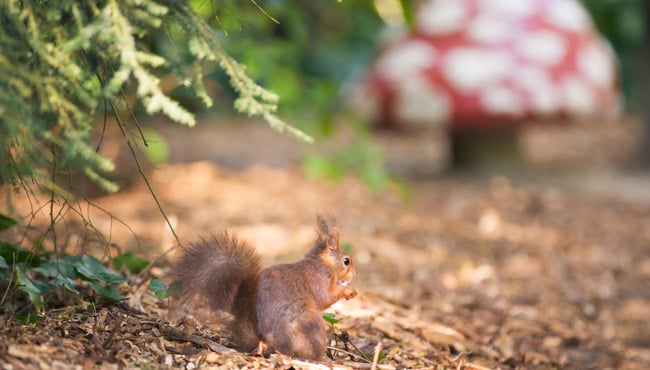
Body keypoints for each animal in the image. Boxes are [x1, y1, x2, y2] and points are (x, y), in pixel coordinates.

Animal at [170, 215, 356, 360]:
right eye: (346, 261)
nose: (354, 274)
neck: (320, 262)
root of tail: (268, 341)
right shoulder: (318, 278)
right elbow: (326, 297)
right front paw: (347, 291)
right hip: (310, 325)